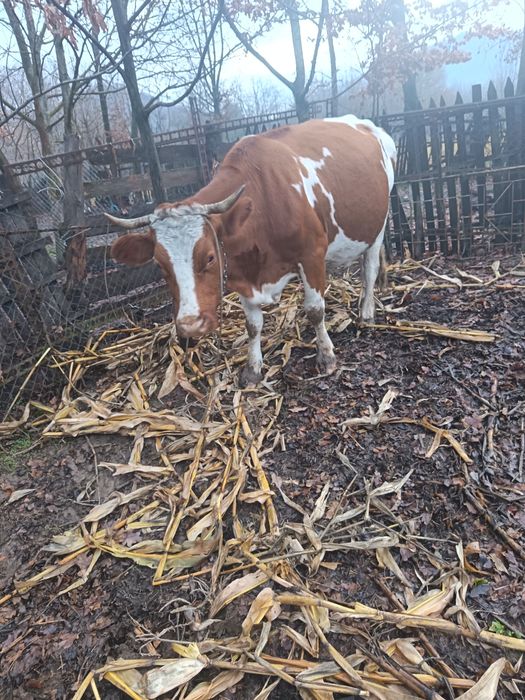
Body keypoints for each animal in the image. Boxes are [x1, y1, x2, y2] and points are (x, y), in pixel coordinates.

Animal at [106, 115, 396, 386]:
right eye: (160, 265)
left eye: (210, 257)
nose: (190, 325)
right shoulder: (244, 272)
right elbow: (253, 325)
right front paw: (252, 369)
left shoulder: (312, 255)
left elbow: (315, 309)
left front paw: (326, 356)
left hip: (378, 225)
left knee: (369, 270)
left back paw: (366, 313)